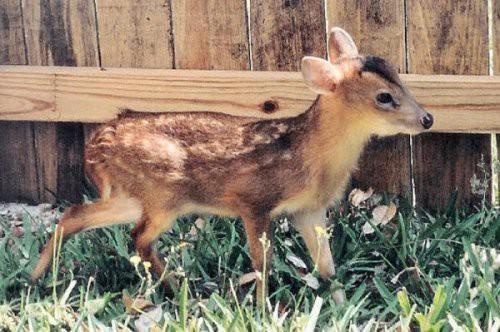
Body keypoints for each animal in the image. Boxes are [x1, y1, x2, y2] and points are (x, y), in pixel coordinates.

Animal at [31, 29, 432, 304]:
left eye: (400, 76)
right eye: (384, 97)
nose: (427, 118)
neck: (308, 157)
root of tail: (98, 143)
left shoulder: (309, 210)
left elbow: (327, 266)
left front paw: (341, 304)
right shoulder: (254, 201)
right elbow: (262, 264)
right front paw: (262, 310)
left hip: (132, 195)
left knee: (76, 214)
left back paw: (37, 277)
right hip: (162, 194)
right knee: (137, 236)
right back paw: (179, 291)